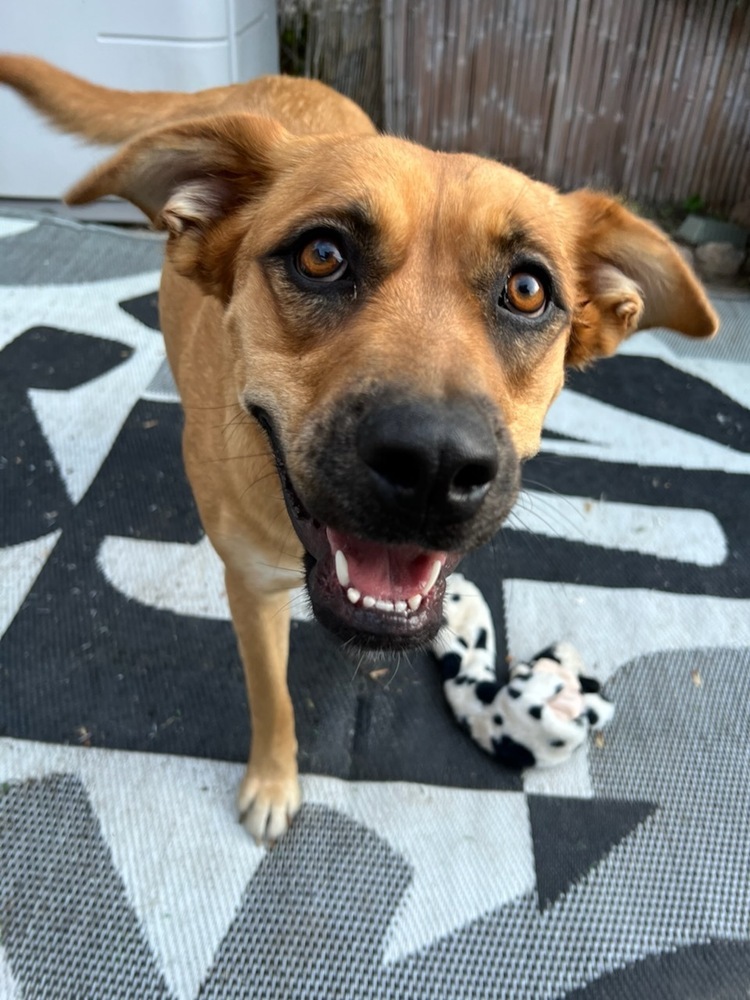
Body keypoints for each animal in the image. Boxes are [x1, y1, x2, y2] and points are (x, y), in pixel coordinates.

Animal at [0, 54, 720, 844]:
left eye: (529, 289)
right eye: (321, 255)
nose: (434, 466)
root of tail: (264, 84)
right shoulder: (250, 589)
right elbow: (272, 697)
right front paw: (273, 780)